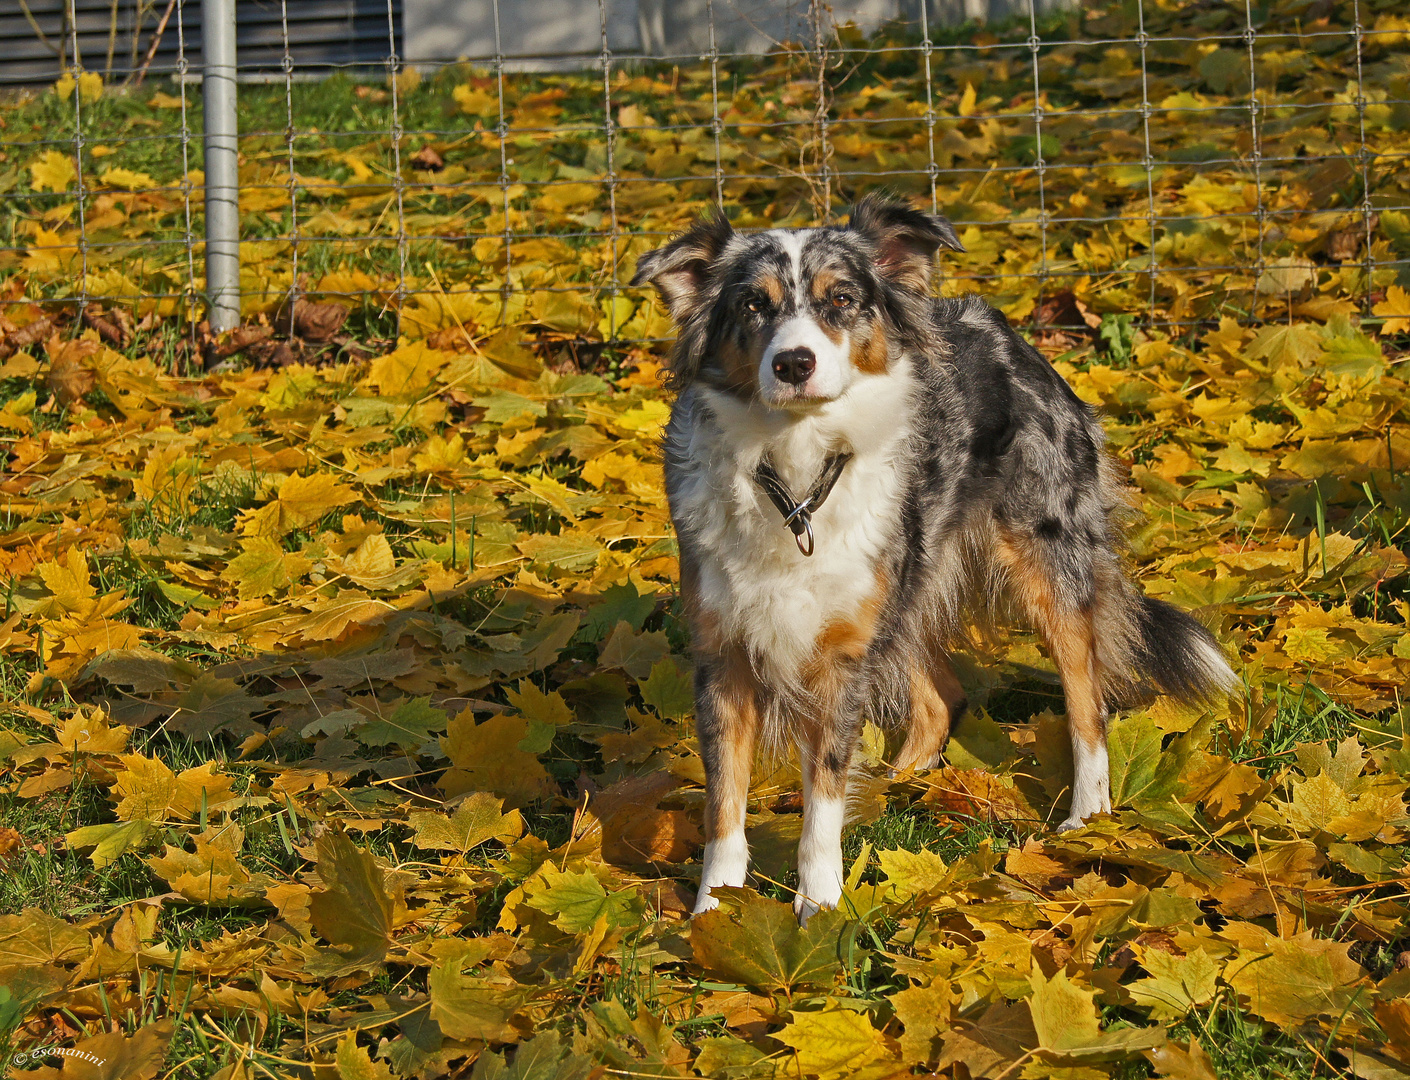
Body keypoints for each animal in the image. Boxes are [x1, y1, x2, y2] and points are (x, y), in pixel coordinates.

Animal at [628, 191, 1235, 924]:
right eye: (752, 305)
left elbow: (821, 803)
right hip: (906, 579)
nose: (793, 363)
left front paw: (819, 909)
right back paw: (896, 787)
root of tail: (1009, 333)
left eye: (842, 299)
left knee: (1087, 699)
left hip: (1045, 566)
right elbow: (724, 802)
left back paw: (1087, 817)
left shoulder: (842, 658)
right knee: (944, 697)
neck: (794, 481)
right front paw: (713, 913)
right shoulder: (724, 654)